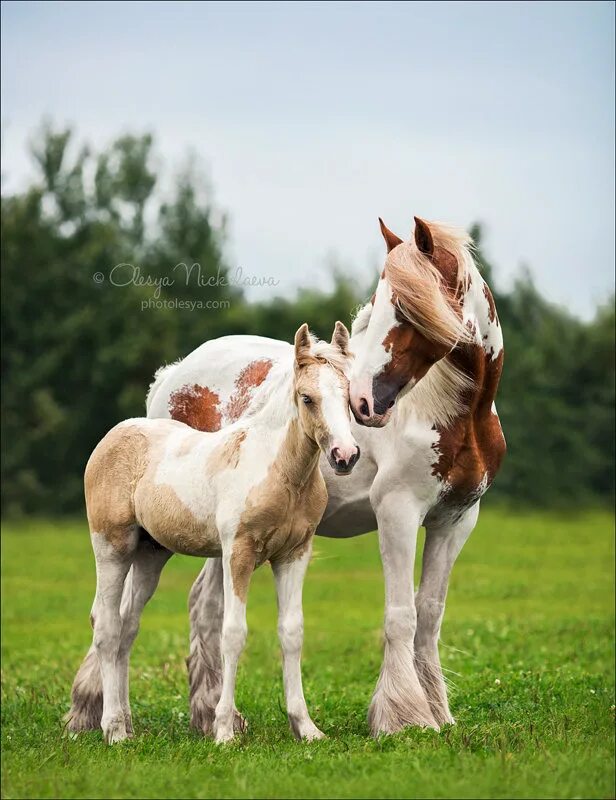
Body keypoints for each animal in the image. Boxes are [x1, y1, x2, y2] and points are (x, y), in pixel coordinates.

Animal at [65, 324, 358, 744]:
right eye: (307, 398)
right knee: (106, 624)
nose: (345, 456)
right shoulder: (238, 551)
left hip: (150, 553)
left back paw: (128, 725)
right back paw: (114, 730)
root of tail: (117, 433)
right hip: (112, 546)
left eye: (350, 396)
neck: (282, 471)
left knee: (126, 626)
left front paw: (305, 727)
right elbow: (233, 633)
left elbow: (292, 632)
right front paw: (224, 729)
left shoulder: (294, 553)